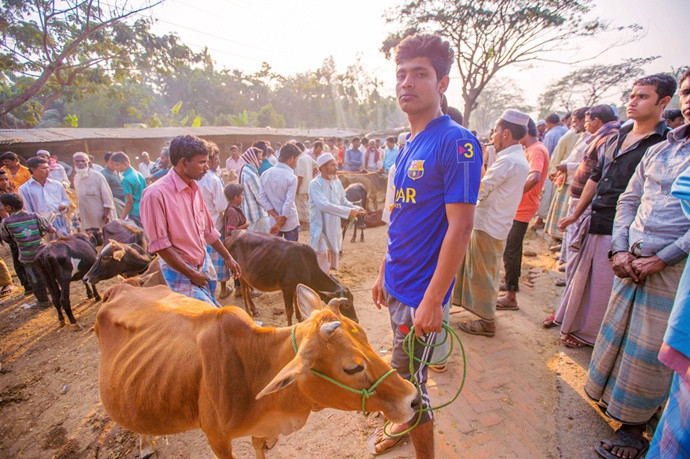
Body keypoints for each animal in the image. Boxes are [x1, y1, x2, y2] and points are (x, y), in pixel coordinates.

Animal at [94, 284, 416, 459]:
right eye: (353, 367)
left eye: (366, 338)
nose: (413, 399)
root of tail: (118, 288)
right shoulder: (217, 439)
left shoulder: (261, 429)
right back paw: (145, 443)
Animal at [223, 230, 358, 328]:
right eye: (347, 305)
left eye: (353, 299)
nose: (356, 320)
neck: (307, 266)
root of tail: (231, 235)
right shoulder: (287, 288)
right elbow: (289, 311)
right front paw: (290, 326)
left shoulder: (295, 286)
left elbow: (296, 300)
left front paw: (300, 318)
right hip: (239, 272)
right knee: (244, 290)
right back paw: (249, 312)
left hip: (246, 274)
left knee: (246, 288)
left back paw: (254, 310)